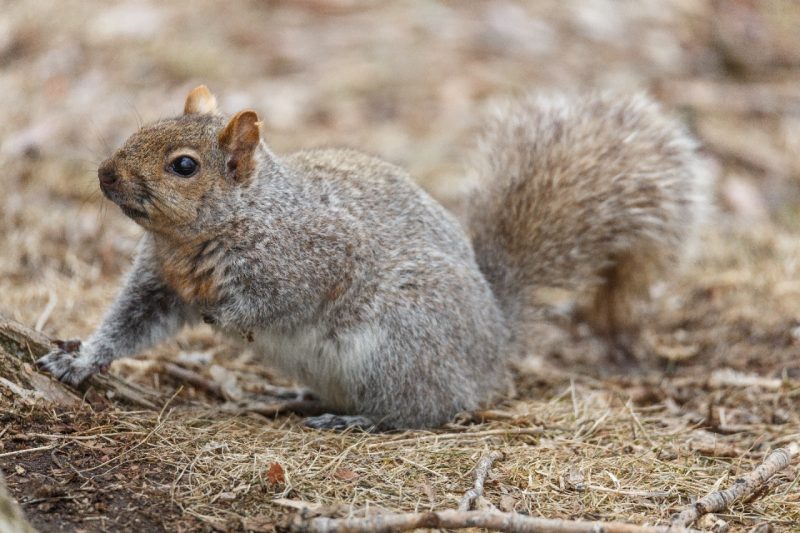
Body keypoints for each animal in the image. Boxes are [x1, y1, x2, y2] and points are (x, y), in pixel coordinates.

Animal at [39, 86, 712, 428]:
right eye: (138, 130)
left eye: (183, 166)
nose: (104, 174)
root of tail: (495, 340)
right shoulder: (159, 280)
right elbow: (129, 325)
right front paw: (79, 359)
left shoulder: (318, 253)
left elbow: (280, 300)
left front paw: (228, 316)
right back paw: (304, 400)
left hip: (400, 342)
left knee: (428, 410)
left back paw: (360, 420)